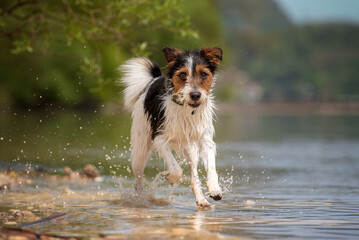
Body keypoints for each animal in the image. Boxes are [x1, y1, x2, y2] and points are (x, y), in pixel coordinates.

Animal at [119, 47, 224, 206]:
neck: (186, 109)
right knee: (138, 180)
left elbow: (211, 168)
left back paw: (201, 200)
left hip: (191, 150)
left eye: (204, 74)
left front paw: (215, 189)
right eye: (182, 74)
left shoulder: (205, 141)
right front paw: (170, 178)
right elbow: (176, 169)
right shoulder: (159, 138)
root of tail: (154, 79)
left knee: (194, 177)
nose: (195, 95)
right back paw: (139, 200)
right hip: (139, 150)